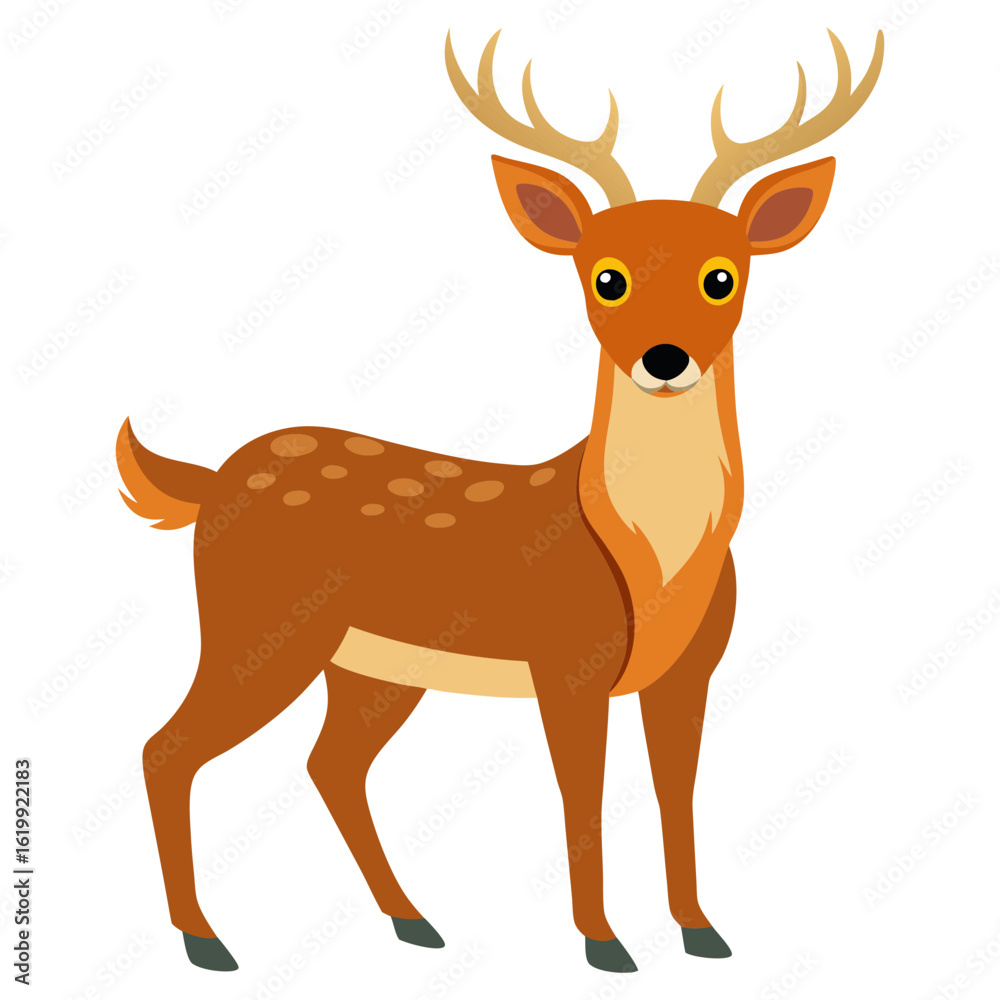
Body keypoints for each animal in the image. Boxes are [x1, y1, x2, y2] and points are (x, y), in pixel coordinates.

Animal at [116, 28, 883, 974]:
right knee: (167, 748)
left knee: (330, 764)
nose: (665, 358)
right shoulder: (566, 661)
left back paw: (412, 920)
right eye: (606, 277)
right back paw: (206, 941)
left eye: (721, 276)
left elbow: (679, 795)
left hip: (370, 665)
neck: (650, 559)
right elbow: (581, 799)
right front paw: (605, 944)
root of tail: (211, 479)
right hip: (257, 625)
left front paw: (702, 932)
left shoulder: (691, 671)